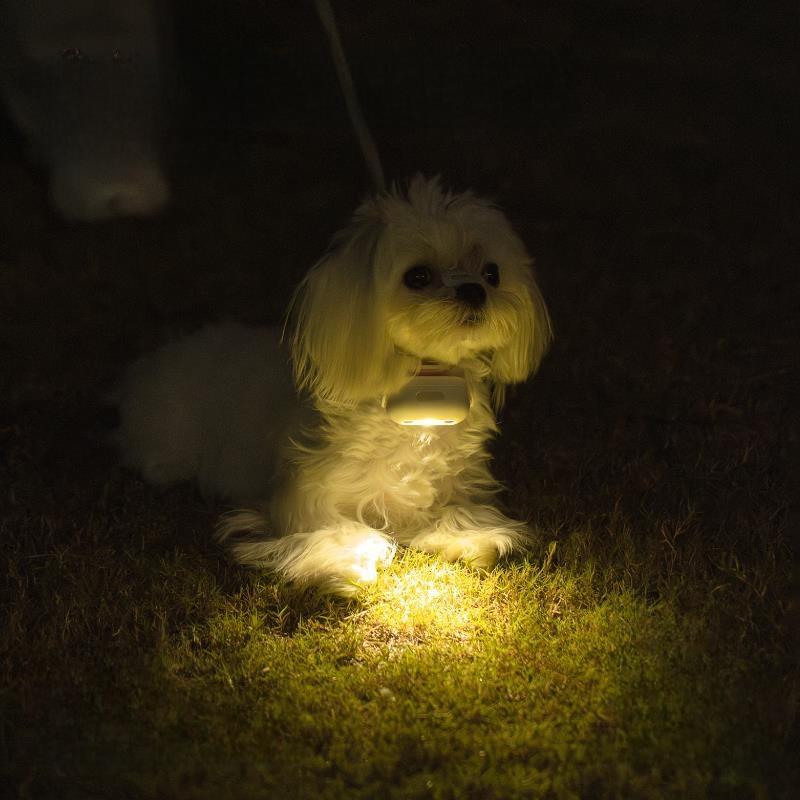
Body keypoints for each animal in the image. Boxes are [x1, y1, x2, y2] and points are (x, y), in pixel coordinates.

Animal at [115, 178, 552, 596]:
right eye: (418, 276)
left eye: (493, 273)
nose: (474, 290)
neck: (418, 406)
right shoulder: (305, 495)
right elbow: (334, 528)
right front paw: (350, 562)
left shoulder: (454, 484)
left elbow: (454, 511)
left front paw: (472, 537)